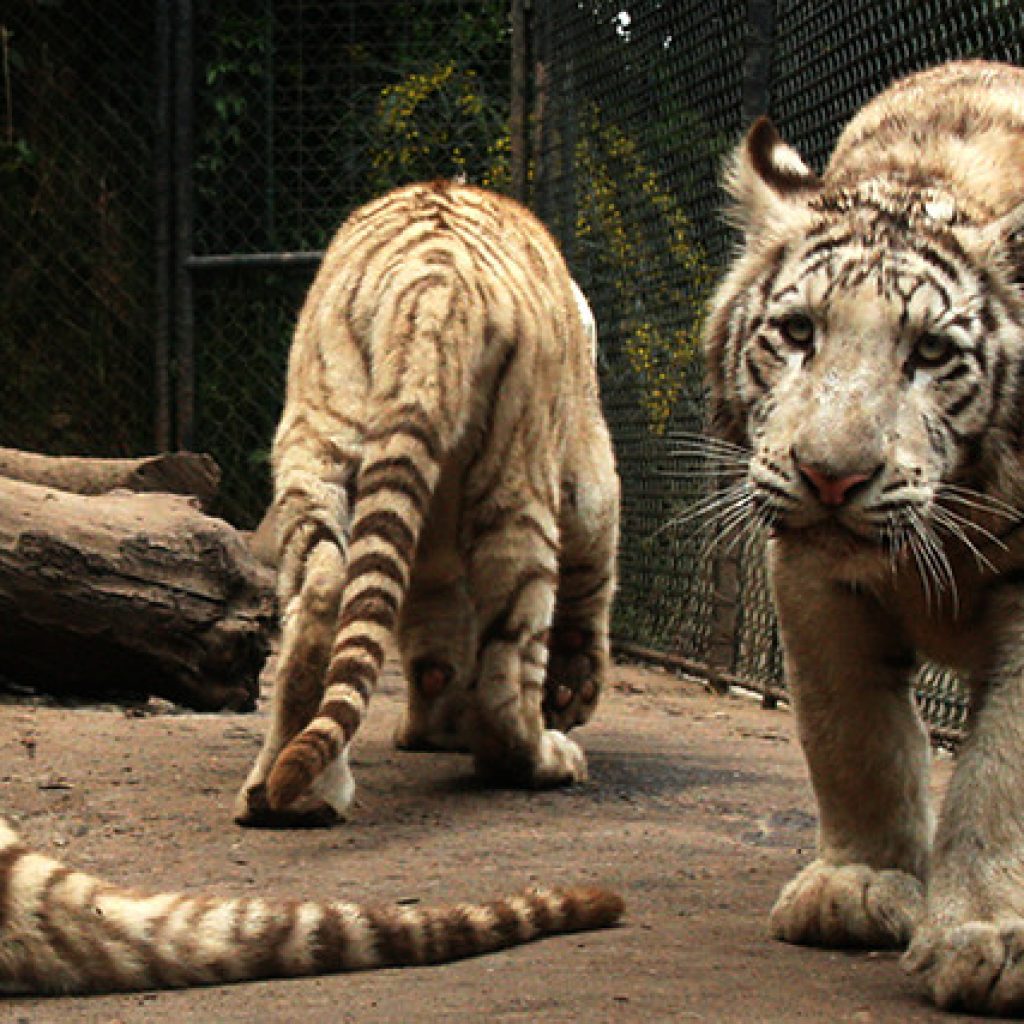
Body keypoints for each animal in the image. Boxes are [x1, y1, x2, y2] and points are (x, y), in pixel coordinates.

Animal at [234, 182, 618, 823]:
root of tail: (431, 279)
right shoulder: (585, 464)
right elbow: (592, 551)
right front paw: (572, 690)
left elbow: (430, 630)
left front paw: (435, 723)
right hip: (517, 479)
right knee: (513, 650)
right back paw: (539, 758)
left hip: (321, 440)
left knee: (323, 590)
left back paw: (290, 796)